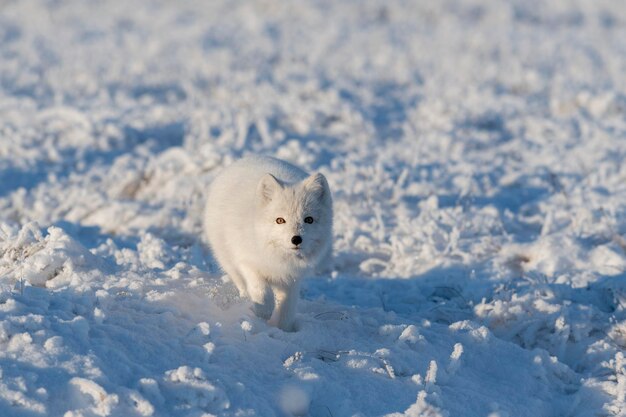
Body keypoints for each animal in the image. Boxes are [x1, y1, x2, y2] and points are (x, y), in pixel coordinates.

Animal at [204, 154, 332, 330]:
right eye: (280, 220)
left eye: (309, 220)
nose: (296, 239)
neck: (278, 258)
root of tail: (249, 157)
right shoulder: (247, 262)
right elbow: (261, 291)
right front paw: (263, 312)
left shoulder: (292, 278)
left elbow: (287, 308)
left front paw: (283, 328)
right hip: (226, 257)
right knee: (241, 282)